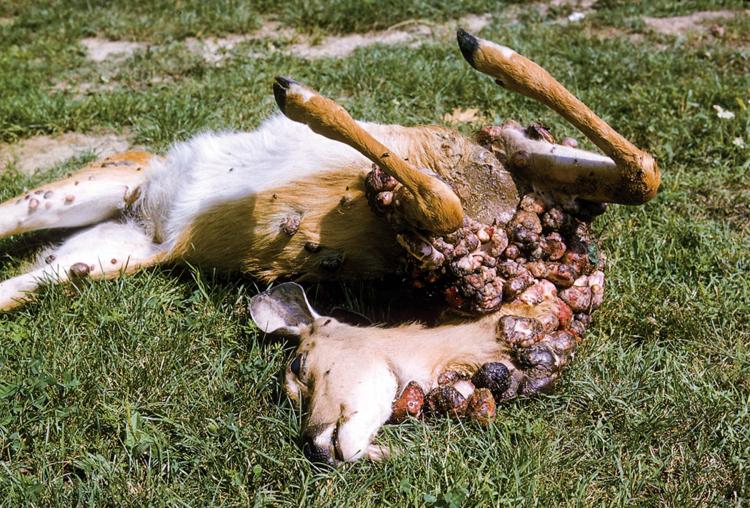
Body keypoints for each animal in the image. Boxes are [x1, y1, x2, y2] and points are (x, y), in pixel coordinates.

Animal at [0, 31, 660, 465]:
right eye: (295, 372)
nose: (319, 444)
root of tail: (154, 209)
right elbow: (442, 196)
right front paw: (301, 95)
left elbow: (641, 173)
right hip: (104, 184)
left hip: (99, 249)